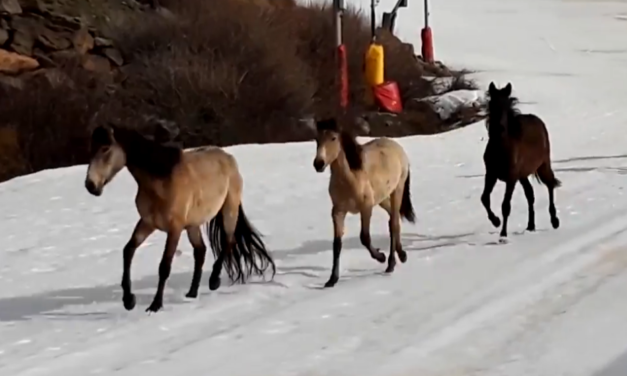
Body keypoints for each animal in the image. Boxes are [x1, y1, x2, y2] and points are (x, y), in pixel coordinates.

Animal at [308, 117, 418, 288]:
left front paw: (381, 257)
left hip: (397, 191)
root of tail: (396, 146)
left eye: (333, 138)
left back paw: (391, 263)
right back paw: (402, 255)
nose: (318, 163)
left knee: (393, 223)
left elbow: (364, 237)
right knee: (394, 220)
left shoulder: (366, 208)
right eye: (316, 139)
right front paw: (332, 280)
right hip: (382, 198)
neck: (351, 177)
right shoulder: (338, 211)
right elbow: (337, 244)